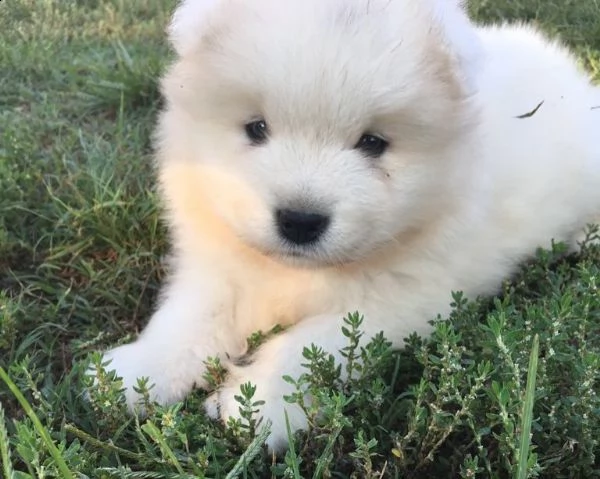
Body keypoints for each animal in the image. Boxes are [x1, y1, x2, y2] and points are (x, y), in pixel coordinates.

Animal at [98, 0, 600, 450]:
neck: (296, 272)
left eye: (373, 143)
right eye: (256, 128)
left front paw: (256, 406)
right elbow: (187, 320)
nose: (300, 220)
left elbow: (308, 347)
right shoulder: (218, 267)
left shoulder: (401, 299)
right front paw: (134, 376)